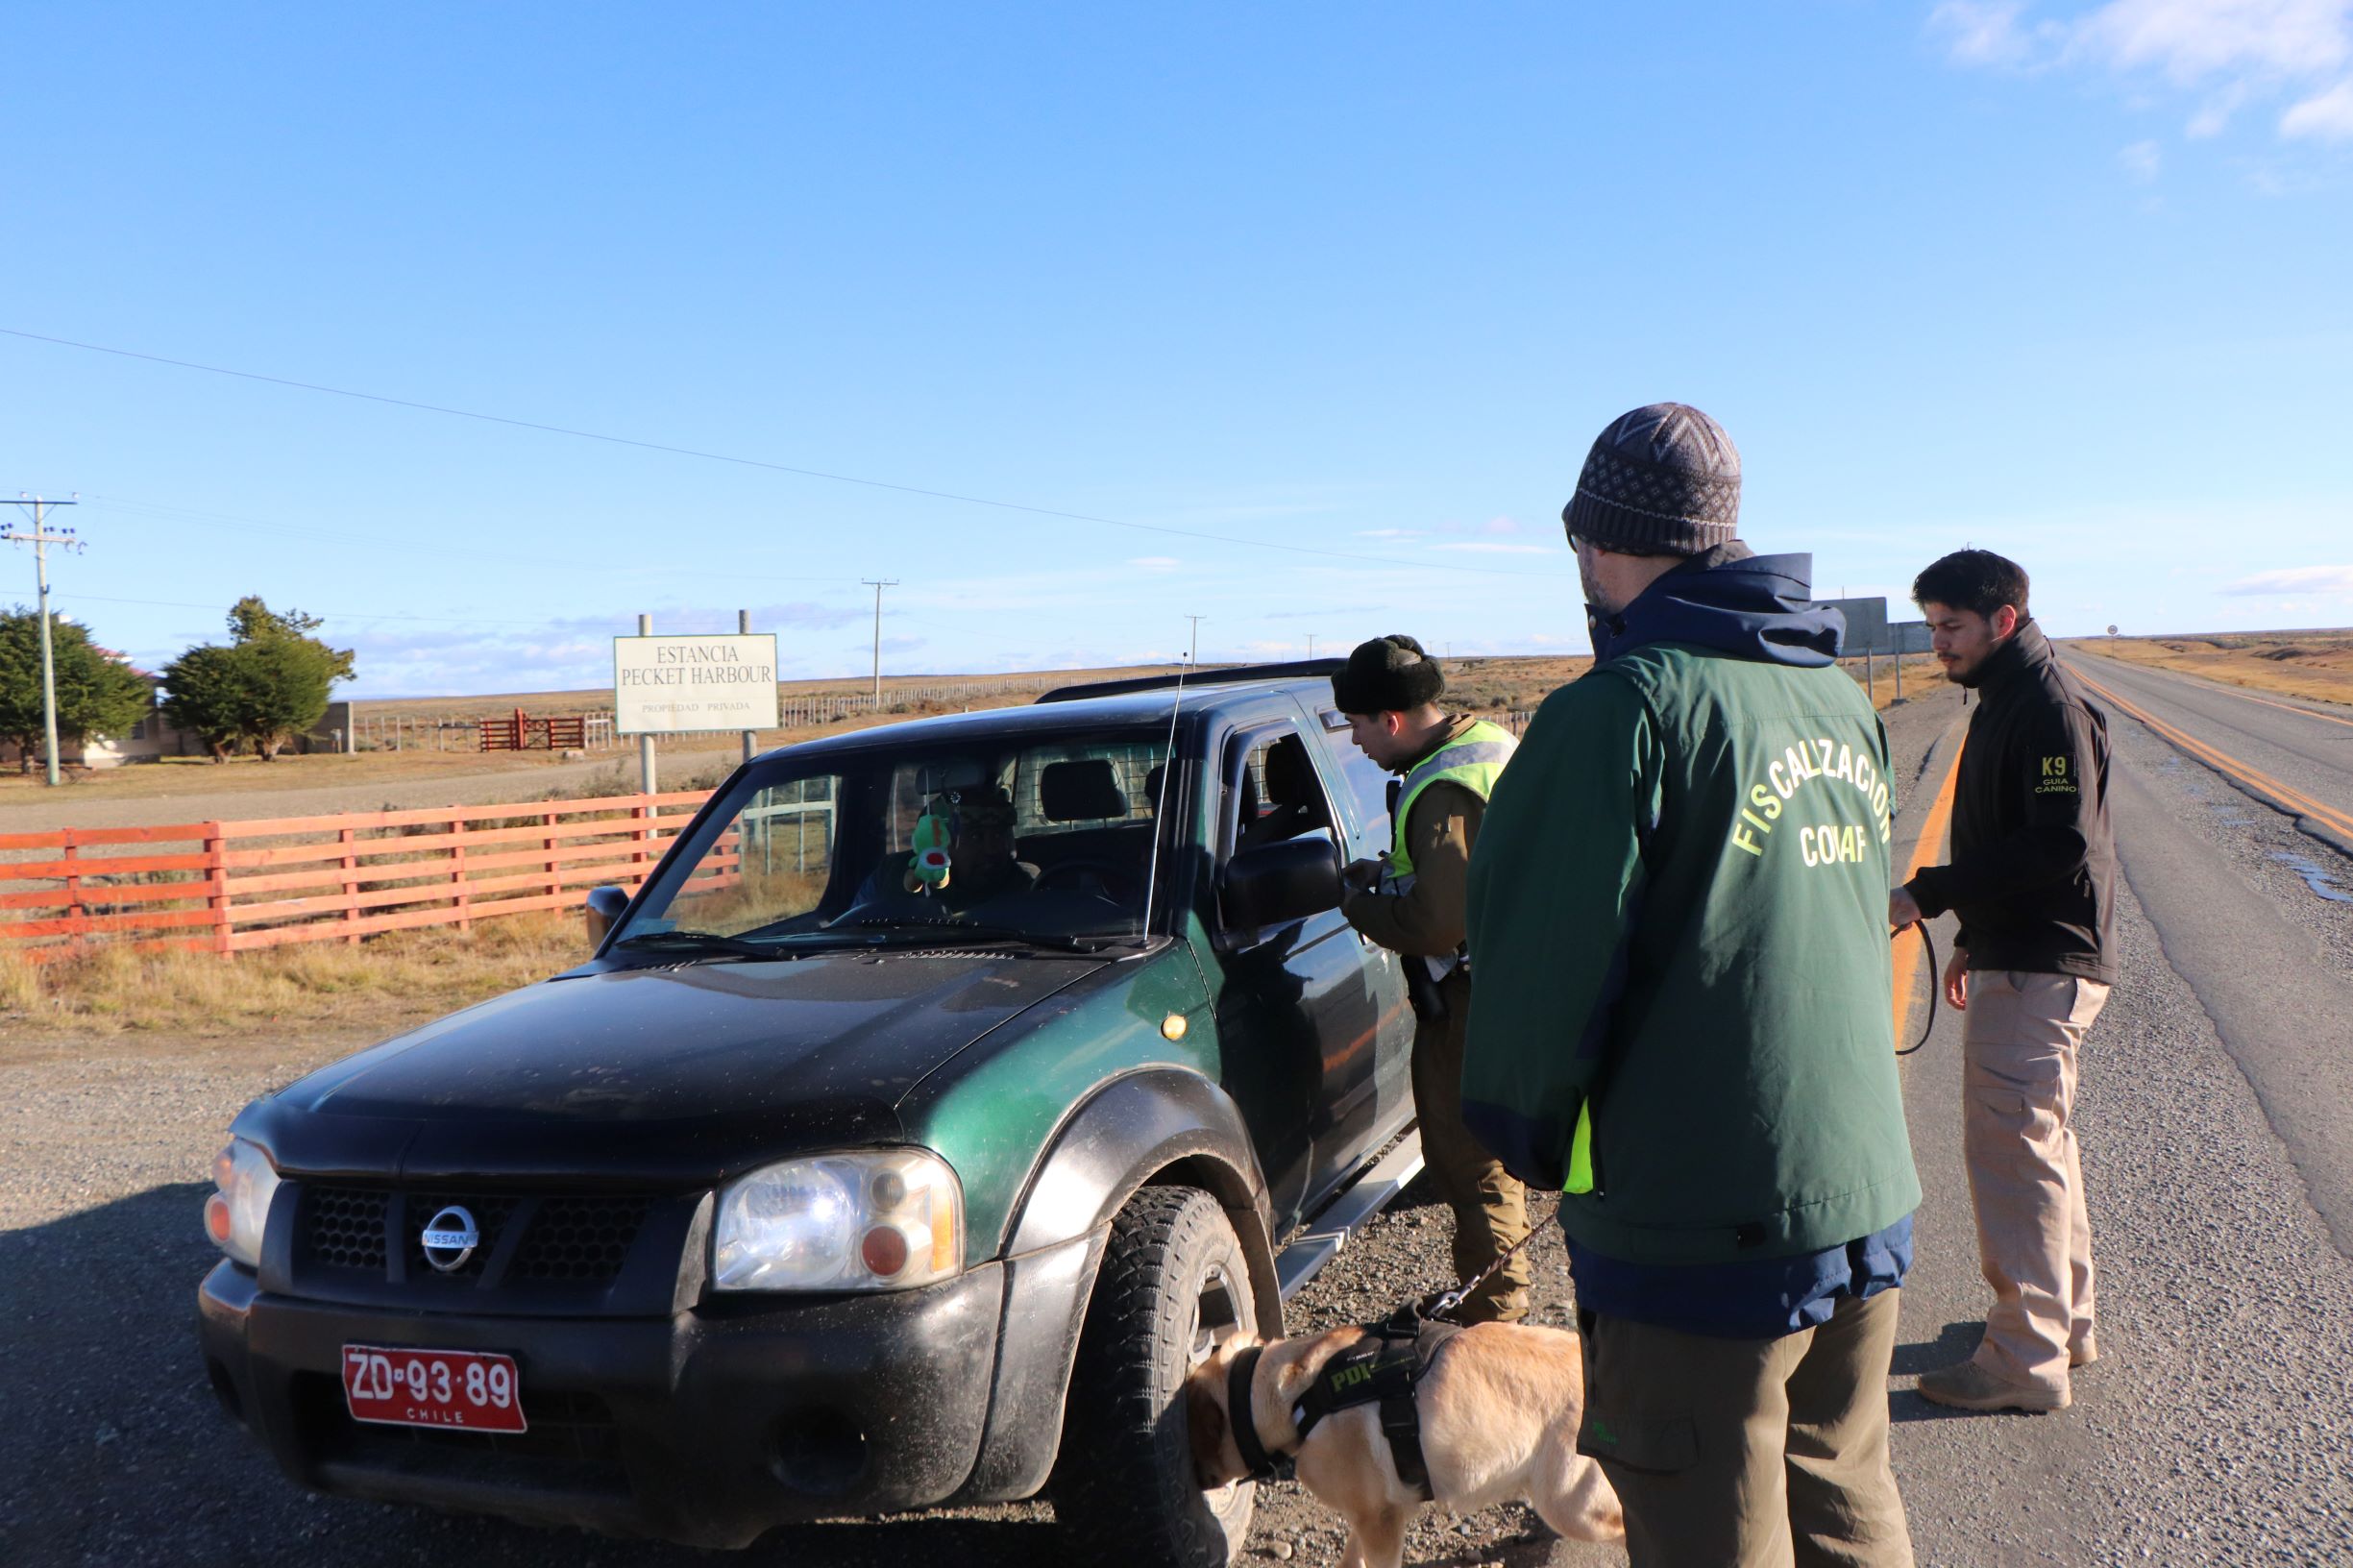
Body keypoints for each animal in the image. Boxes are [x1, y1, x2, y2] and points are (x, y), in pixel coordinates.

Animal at [1195, 1318, 1618, 1563]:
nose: (1194, 1483)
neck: (1300, 1400)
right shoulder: (1375, 1513)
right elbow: (1351, 1554)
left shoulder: (1380, 1524)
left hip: (1573, 1506)